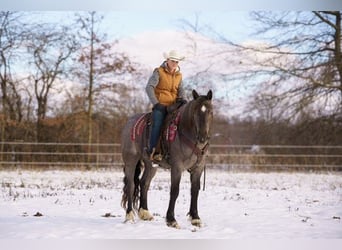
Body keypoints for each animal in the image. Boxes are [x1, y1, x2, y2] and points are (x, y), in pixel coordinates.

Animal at [119, 90, 212, 229]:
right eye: (195, 112)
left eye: (210, 111)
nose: (202, 137)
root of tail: (129, 122)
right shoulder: (177, 167)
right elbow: (174, 190)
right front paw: (171, 219)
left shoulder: (198, 168)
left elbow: (195, 190)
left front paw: (195, 218)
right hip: (131, 160)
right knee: (131, 185)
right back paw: (129, 215)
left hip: (151, 164)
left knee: (144, 183)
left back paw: (145, 213)